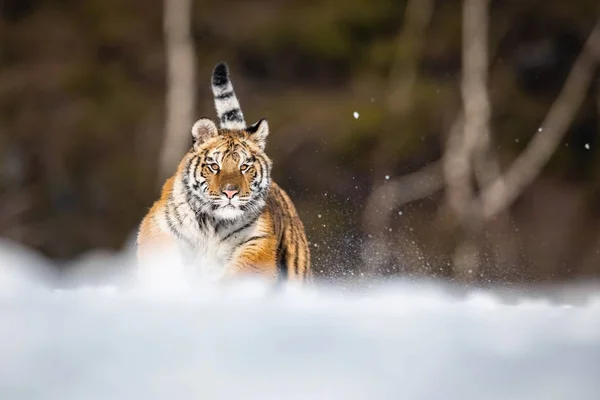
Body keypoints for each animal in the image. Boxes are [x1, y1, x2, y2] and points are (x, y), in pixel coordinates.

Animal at [137, 61, 312, 284]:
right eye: (214, 166)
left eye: (244, 167)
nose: (230, 192)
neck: (212, 225)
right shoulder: (159, 227)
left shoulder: (258, 241)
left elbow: (240, 275)